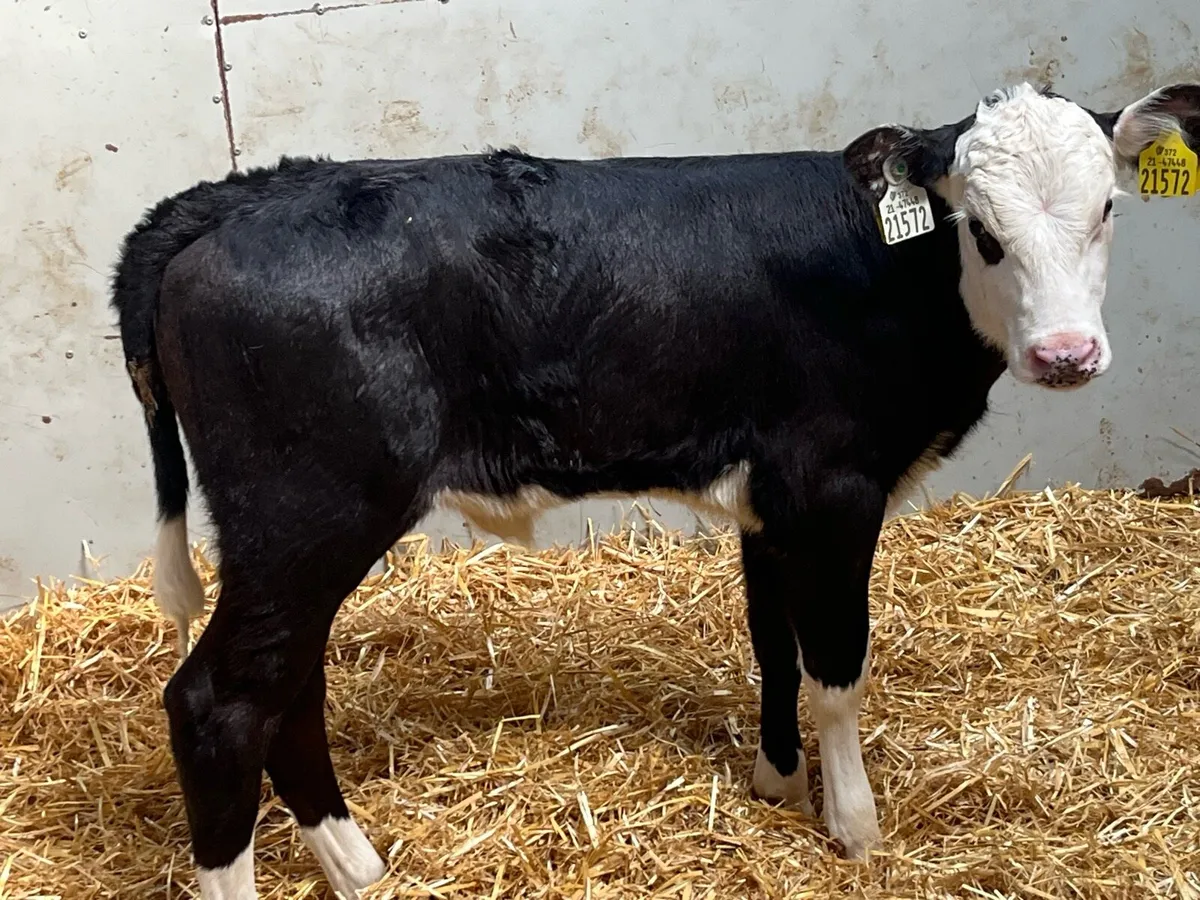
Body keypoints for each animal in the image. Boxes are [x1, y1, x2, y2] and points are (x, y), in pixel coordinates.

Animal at [112, 81, 1200, 898]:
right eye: (980, 228)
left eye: (1108, 210)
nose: (1066, 355)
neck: (889, 275)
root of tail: (228, 199)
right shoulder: (835, 488)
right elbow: (836, 668)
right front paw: (853, 826)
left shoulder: (773, 502)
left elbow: (773, 644)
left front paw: (775, 783)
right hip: (309, 513)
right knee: (219, 703)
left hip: (296, 535)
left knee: (288, 689)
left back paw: (357, 865)